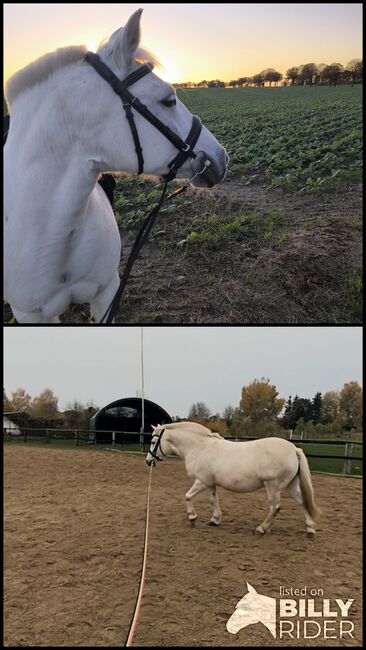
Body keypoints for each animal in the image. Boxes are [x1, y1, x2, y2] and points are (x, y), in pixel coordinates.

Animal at [146, 420, 320, 536]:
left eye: (154, 441)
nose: (148, 461)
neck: (199, 447)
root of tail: (294, 449)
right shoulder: (211, 483)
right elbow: (213, 500)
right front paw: (215, 520)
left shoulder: (201, 481)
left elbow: (187, 496)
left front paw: (192, 517)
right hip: (291, 484)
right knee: (302, 502)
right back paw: (310, 528)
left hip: (273, 486)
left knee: (275, 507)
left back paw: (262, 528)